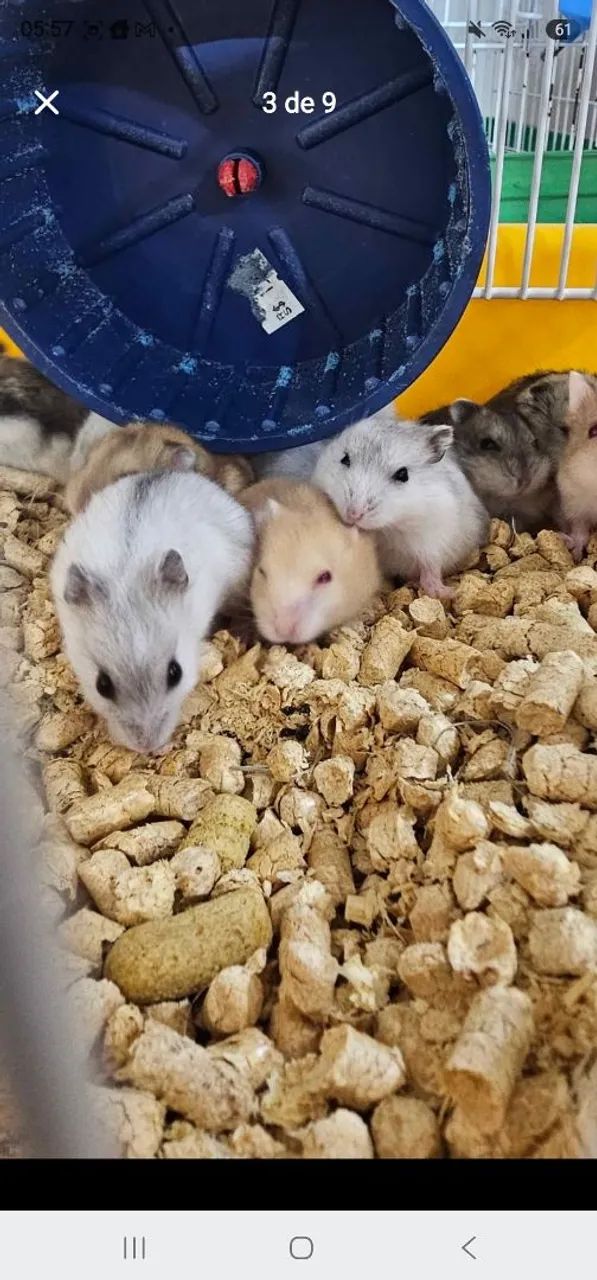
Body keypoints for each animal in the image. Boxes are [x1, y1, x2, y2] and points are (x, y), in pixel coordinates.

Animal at [313, 408, 488, 598]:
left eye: (403, 474)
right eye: (345, 459)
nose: (354, 514)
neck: (387, 528)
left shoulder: (433, 539)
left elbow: (430, 567)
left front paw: (449, 593)